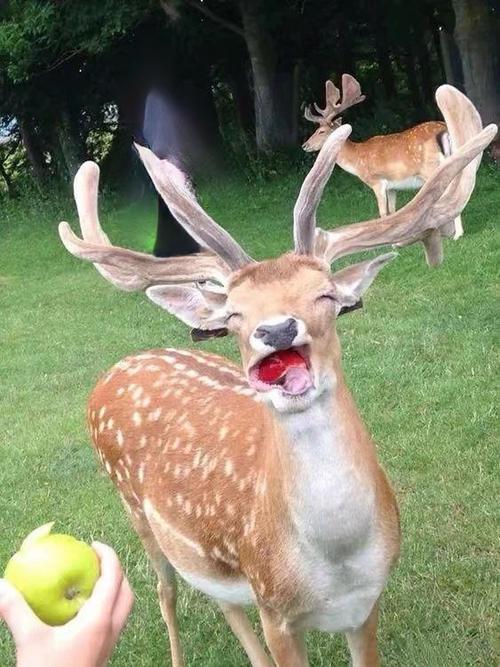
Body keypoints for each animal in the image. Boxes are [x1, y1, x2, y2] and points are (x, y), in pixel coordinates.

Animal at [303, 74, 465, 240]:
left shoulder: (377, 181)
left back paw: (457, 234)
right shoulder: (392, 186)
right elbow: (393, 212)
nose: (305, 145)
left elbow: (383, 213)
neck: (357, 160)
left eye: (321, 131)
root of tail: (445, 130)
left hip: (431, 169)